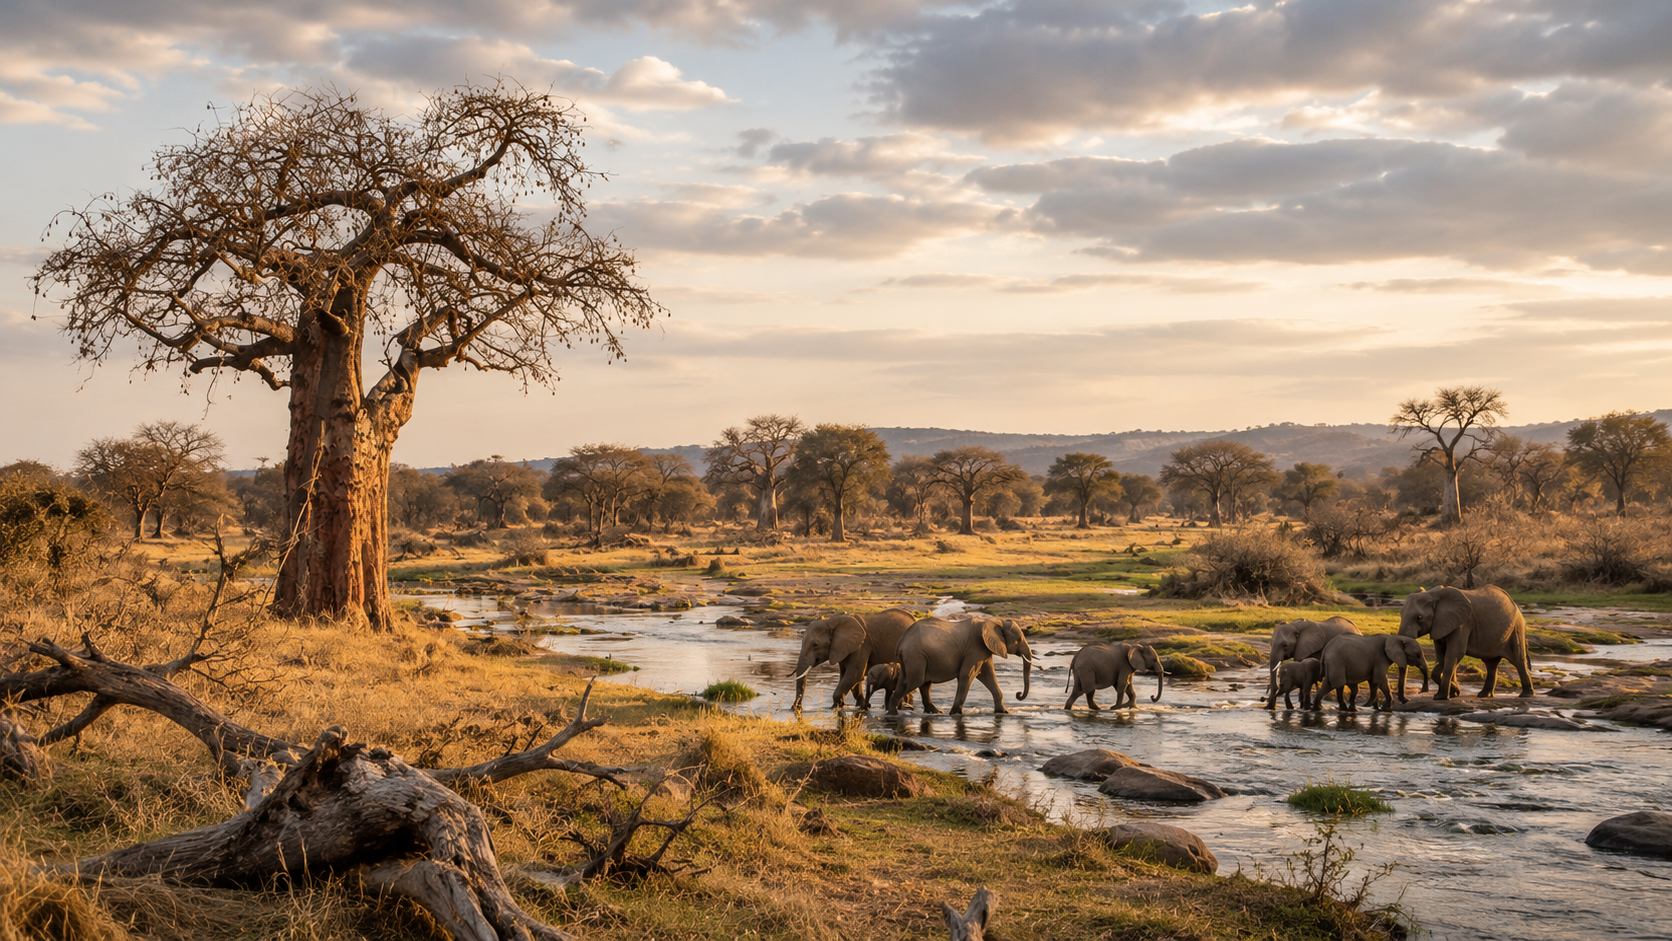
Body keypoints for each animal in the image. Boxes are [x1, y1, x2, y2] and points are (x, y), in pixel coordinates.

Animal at [886, 616, 1033, 715]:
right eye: (1019, 639)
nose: (1018, 694)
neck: (996, 621)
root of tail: (901, 641)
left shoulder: (983, 650)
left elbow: (988, 676)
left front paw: (1003, 712)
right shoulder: (975, 648)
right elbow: (968, 675)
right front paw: (956, 713)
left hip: (914, 658)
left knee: (920, 683)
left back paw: (935, 712)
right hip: (915, 656)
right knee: (915, 681)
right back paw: (893, 713)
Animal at [1398, 585, 1533, 700]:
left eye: (1419, 617)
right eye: (1401, 614)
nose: (1422, 691)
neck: (1433, 594)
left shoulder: (1463, 623)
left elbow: (1454, 653)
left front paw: (1442, 697)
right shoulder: (1440, 625)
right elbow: (1442, 654)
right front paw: (1453, 693)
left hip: (1516, 629)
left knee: (1518, 661)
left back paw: (1526, 695)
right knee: (1491, 663)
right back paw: (1484, 695)